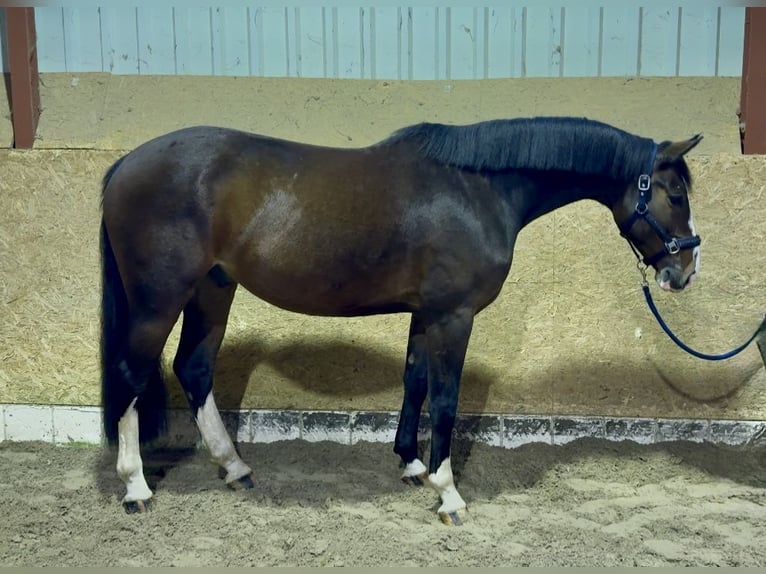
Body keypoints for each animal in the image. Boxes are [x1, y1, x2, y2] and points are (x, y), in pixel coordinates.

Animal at [99, 116, 702, 524]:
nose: (685, 271)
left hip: (212, 290)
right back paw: (136, 488)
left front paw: (411, 466)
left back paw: (234, 468)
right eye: (674, 194)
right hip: (159, 300)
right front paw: (448, 493)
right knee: (134, 374)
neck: (478, 189)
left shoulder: (425, 312)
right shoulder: (454, 316)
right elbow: (447, 398)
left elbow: (415, 382)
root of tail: (125, 165)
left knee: (194, 369)